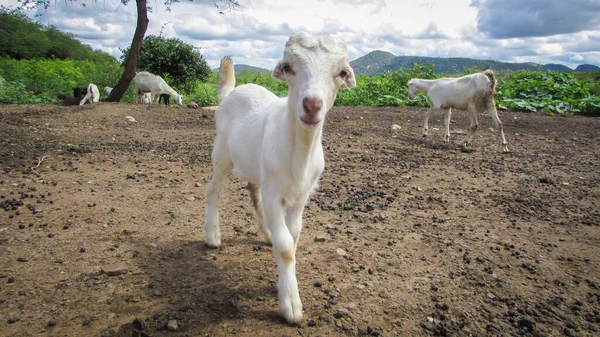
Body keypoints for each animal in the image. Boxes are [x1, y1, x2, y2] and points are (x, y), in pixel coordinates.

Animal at [204, 33, 356, 322]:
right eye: (288, 67)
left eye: (342, 72)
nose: (312, 105)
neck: (299, 154)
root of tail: (231, 92)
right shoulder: (274, 193)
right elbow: (286, 246)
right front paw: (291, 305)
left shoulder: (301, 195)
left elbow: (293, 236)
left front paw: (285, 283)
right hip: (221, 154)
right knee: (213, 191)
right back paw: (212, 236)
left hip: (256, 168)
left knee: (253, 193)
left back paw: (266, 234)